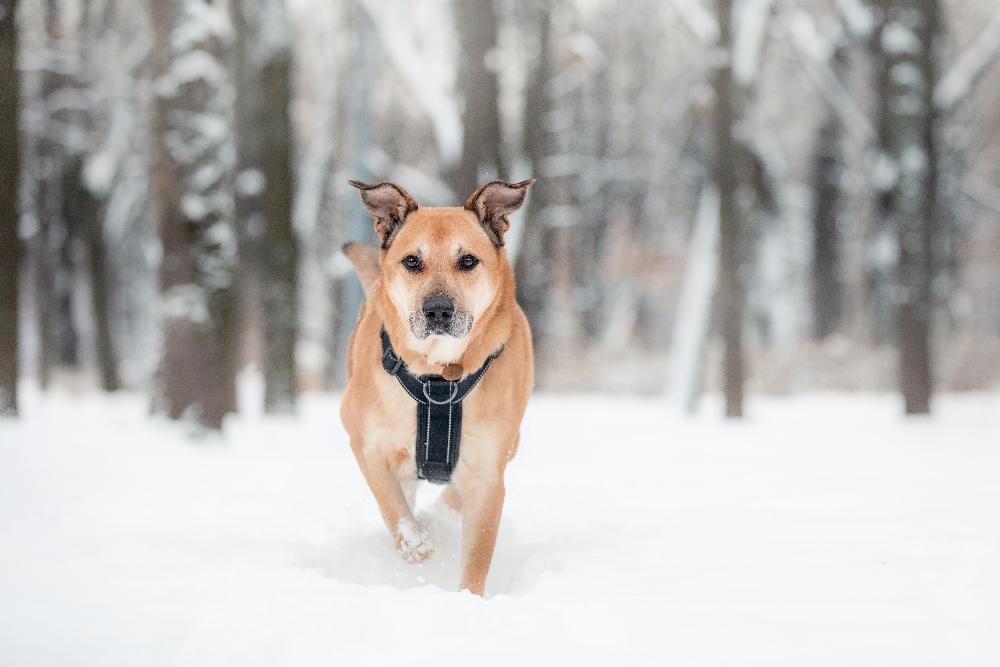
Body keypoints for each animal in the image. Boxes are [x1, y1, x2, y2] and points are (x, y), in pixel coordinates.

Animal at [340, 176, 536, 596]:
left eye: (468, 261)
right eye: (413, 261)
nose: (438, 309)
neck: (439, 376)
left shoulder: (488, 472)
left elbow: (478, 551)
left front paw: (466, 599)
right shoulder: (364, 441)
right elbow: (390, 502)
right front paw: (417, 545)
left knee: (450, 499)